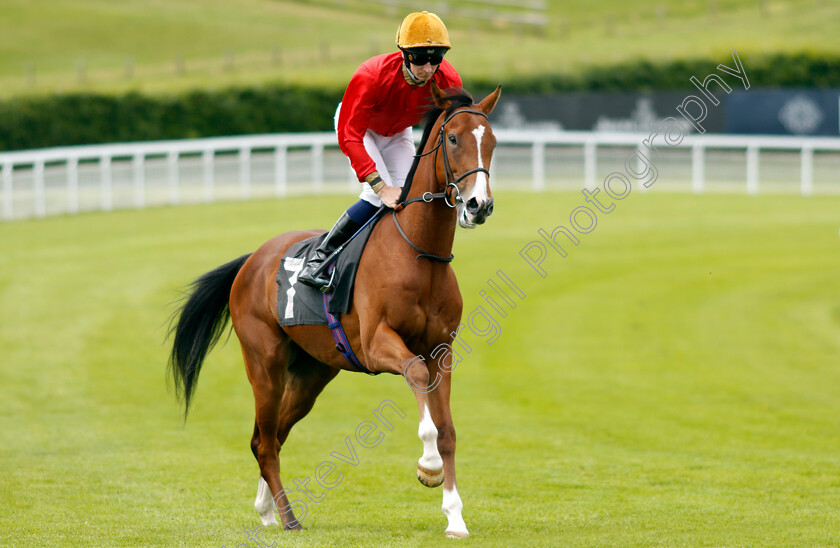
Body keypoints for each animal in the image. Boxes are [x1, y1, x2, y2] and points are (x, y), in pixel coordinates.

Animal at [167, 82, 502, 540]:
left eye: (492, 142)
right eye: (453, 139)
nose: (477, 206)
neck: (418, 253)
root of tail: (252, 259)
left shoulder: (442, 351)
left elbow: (448, 429)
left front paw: (454, 517)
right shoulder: (378, 344)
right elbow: (416, 376)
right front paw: (428, 466)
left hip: (312, 373)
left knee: (271, 434)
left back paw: (266, 508)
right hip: (265, 364)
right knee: (265, 440)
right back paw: (288, 516)